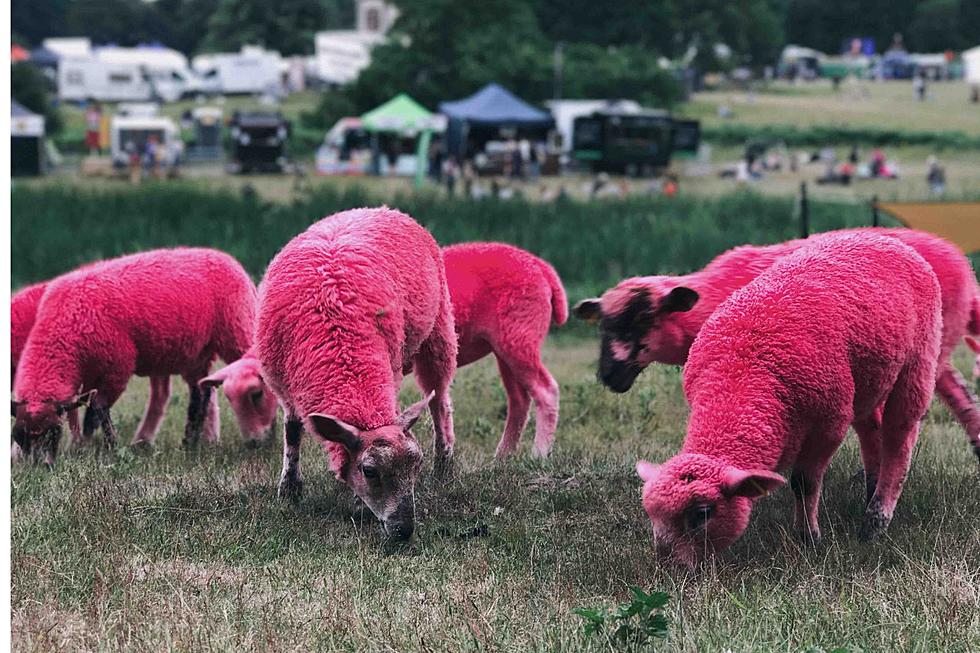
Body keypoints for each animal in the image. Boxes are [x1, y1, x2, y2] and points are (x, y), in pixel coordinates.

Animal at [11, 247, 256, 460]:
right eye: (20, 437)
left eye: (52, 432)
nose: (39, 466)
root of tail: (229, 260)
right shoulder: (88, 373)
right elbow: (88, 410)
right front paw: (86, 446)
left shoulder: (118, 366)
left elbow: (97, 410)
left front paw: (105, 448)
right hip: (196, 352)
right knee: (201, 392)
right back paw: (189, 443)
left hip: (236, 331)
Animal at [255, 208, 458, 540]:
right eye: (370, 471)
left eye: (416, 464)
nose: (403, 529)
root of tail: (382, 208)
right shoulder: (283, 384)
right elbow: (293, 430)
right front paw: (290, 489)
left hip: (439, 330)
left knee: (439, 401)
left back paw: (444, 464)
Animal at [442, 241, 568, 458]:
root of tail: (542, 266)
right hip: (506, 347)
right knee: (519, 400)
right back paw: (503, 457)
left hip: (521, 337)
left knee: (546, 391)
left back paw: (538, 454)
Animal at [576, 229, 980, 458]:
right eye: (603, 325)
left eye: (645, 318)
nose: (609, 375)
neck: (708, 298)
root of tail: (963, 265)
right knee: (958, 391)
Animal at [636, 233, 940, 564]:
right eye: (650, 513)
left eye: (702, 513)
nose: (668, 566)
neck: (742, 373)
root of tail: (882, 237)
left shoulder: (829, 423)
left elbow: (803, 481)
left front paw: (808, 537)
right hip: (866, 381)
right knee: (871, 429)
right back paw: (870, 491)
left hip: (918, 359)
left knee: (900, 435)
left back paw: (875, 520)